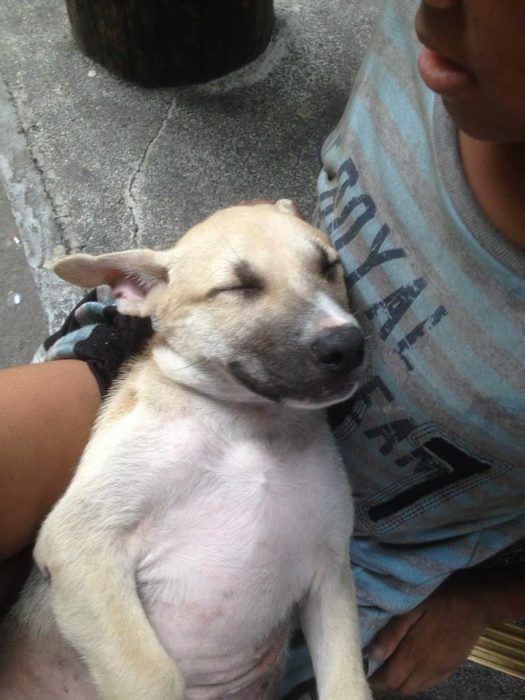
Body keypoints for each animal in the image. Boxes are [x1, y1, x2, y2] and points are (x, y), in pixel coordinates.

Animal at [0, 200, 370, 696]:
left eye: (328, 266)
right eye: (238, 287)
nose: (348, 346)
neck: (250, 428)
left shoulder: (330, 576)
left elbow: (349, 682)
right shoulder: (79, 540)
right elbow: (153, 675)